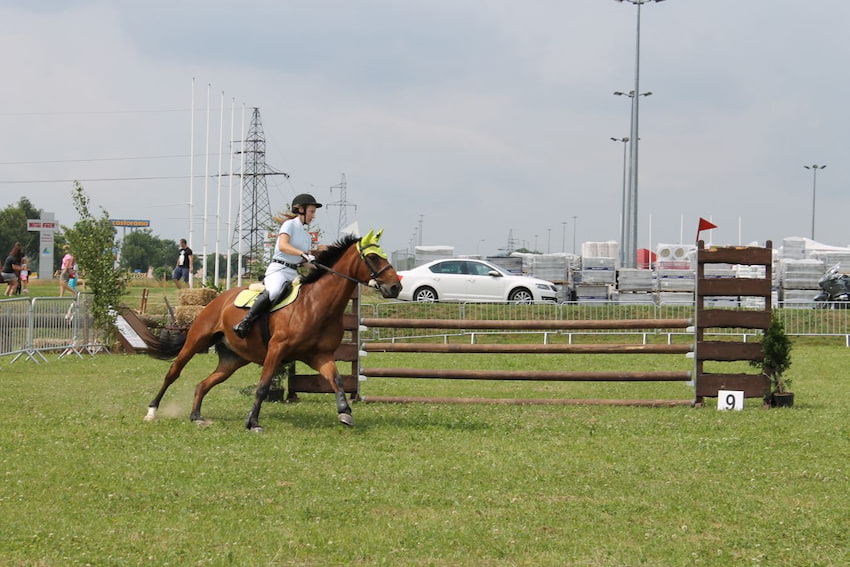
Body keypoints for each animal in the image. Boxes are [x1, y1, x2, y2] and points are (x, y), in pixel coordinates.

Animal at [142, 231, 400, 430]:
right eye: (373, 257)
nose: (396, 287)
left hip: (233, 360)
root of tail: (218, 298)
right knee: (173, 372)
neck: (317, 304)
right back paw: (152, 411)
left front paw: (345, 412)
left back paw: (196, 417)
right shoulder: (277, 350)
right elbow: (264, 386)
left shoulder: (320, 355)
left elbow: (336, 380)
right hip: (197, 341)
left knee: (203, 384)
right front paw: (252, 422)